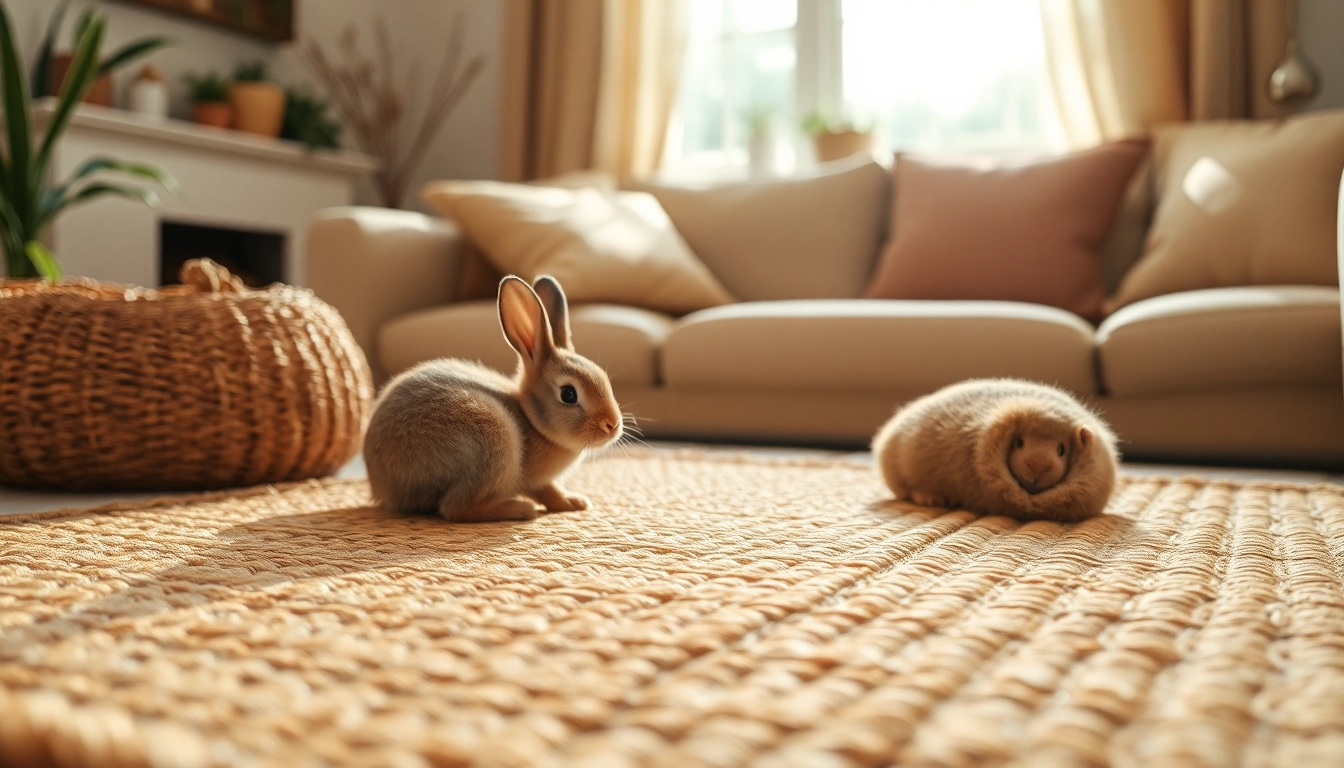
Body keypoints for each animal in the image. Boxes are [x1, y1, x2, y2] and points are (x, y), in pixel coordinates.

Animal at [363, 275, 624, 522]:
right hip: (491, 444)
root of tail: (383, 485)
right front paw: (574, 502)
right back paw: (520, 510)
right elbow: (548, 492)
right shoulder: (534, 482)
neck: (532, 421)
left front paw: (577, 502)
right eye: (568, 394)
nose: (612, 425)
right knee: (456, 508)